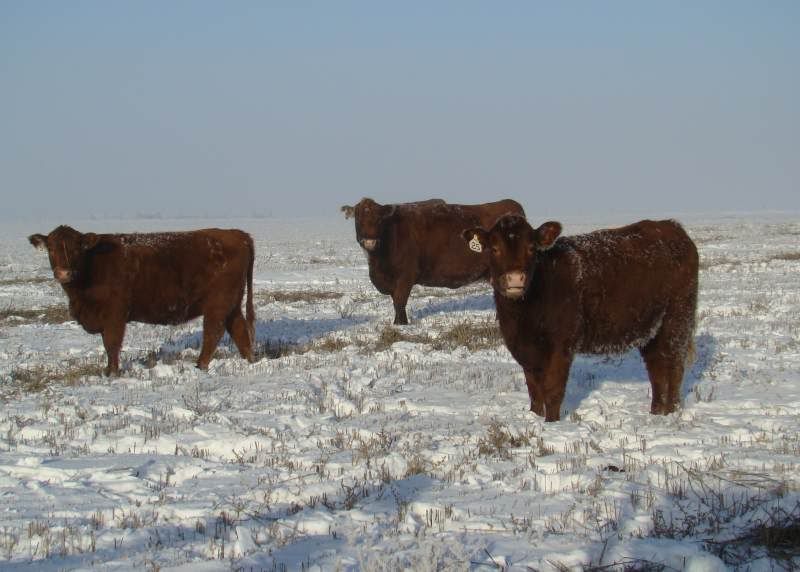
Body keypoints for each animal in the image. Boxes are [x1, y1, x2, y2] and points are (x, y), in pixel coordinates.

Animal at [28, 225, 256, 376]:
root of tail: (236, 233)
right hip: (232, 304)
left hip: (218, 304)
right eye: (50, 249)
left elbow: (111, 344)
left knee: (213, 332)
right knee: (239, 330)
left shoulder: (114, 315)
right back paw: (248, 360)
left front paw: (112, 373)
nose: (63, 273)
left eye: (77, 249)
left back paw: (200, 366)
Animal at [341, 198, 525, 325]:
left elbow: (399, 302)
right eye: (358, 218)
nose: (369, 242)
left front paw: (401, 325)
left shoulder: (406, 276)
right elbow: (395, 302)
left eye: (379, 219)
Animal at [462, 214, 698, 421]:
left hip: (677, 318)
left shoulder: (561, 345)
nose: (515, 279)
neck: (522, 317)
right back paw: (656, 413)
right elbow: (535, 391)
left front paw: (552, 424)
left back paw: (671, 412)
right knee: (656, 367)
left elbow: (552, 389)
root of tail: (671, 226)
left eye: (531, 248)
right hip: (651, 327)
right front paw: (535, 417)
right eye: (494, 248)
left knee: (674, 365)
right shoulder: (525, 350)